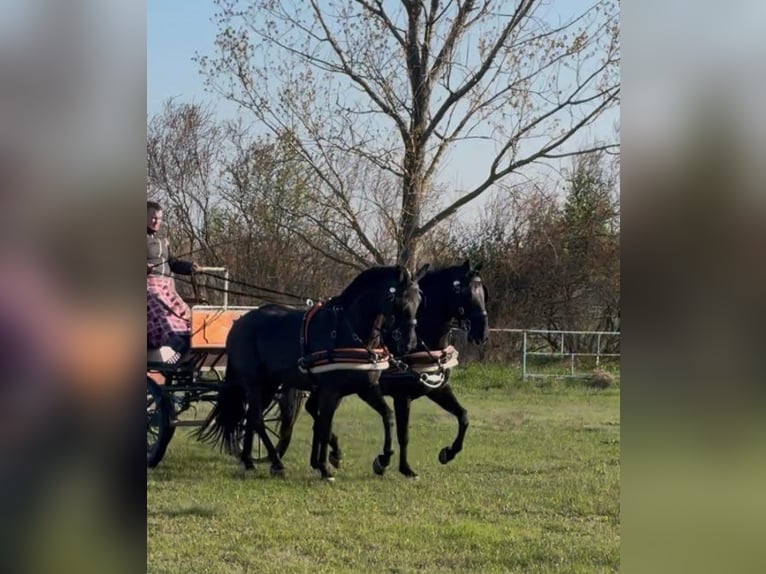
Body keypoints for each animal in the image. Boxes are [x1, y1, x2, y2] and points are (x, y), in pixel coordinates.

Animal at [196, 265, 427, 480]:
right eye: (398, 301)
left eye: (418, 301)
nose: (409, 343)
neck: (347, 330)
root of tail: (238, 324)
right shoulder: (330, 390)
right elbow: (324, 426)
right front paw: (325, 468)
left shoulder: (365, 388)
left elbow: (387, 416)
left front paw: (383, 460)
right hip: (254, 383)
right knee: (258, 419)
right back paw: (276, 463)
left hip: (269, 384)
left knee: (251, 418)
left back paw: (249, 461)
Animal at [296, 260, 489, 478]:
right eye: (466, 292)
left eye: (483, 292)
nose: (482, 333)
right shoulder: (401, 396)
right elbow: (403, 434)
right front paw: (398, 466)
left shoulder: (437, 389)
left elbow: (463, 416)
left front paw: (448, 453)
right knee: (318, 415)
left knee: (316, 412)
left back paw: (319, 459)